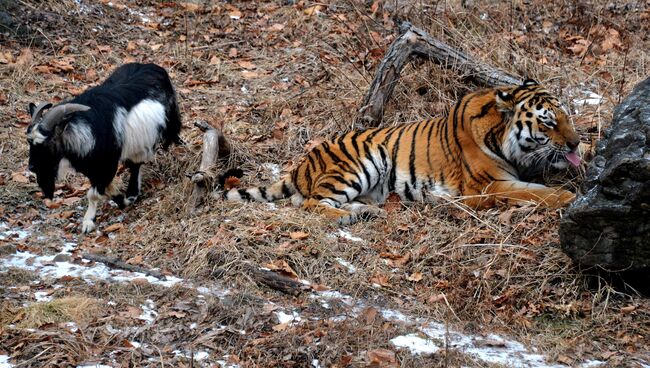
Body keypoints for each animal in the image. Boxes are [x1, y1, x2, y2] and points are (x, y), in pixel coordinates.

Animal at [26, 63, 181, 233]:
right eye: (29, 141)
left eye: (47, 143)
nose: (31, 167)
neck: (86, 131)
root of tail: (153, 66)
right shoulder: (91, 169)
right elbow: (104, 189)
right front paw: (119, 200)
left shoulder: (108, 165)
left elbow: (93, 193)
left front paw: (89, 221)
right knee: (135, 163)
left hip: (167, 124)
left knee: (142, 159)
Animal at [224, 80, 584, 224]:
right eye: (549, 122)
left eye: (566, 116)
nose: (576, 142)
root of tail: (304, 161)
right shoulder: (486, 187)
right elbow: (534, 192)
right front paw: (568, 198)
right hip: (363, 160)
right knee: (312, 204)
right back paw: (348, 217)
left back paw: (365, 212)